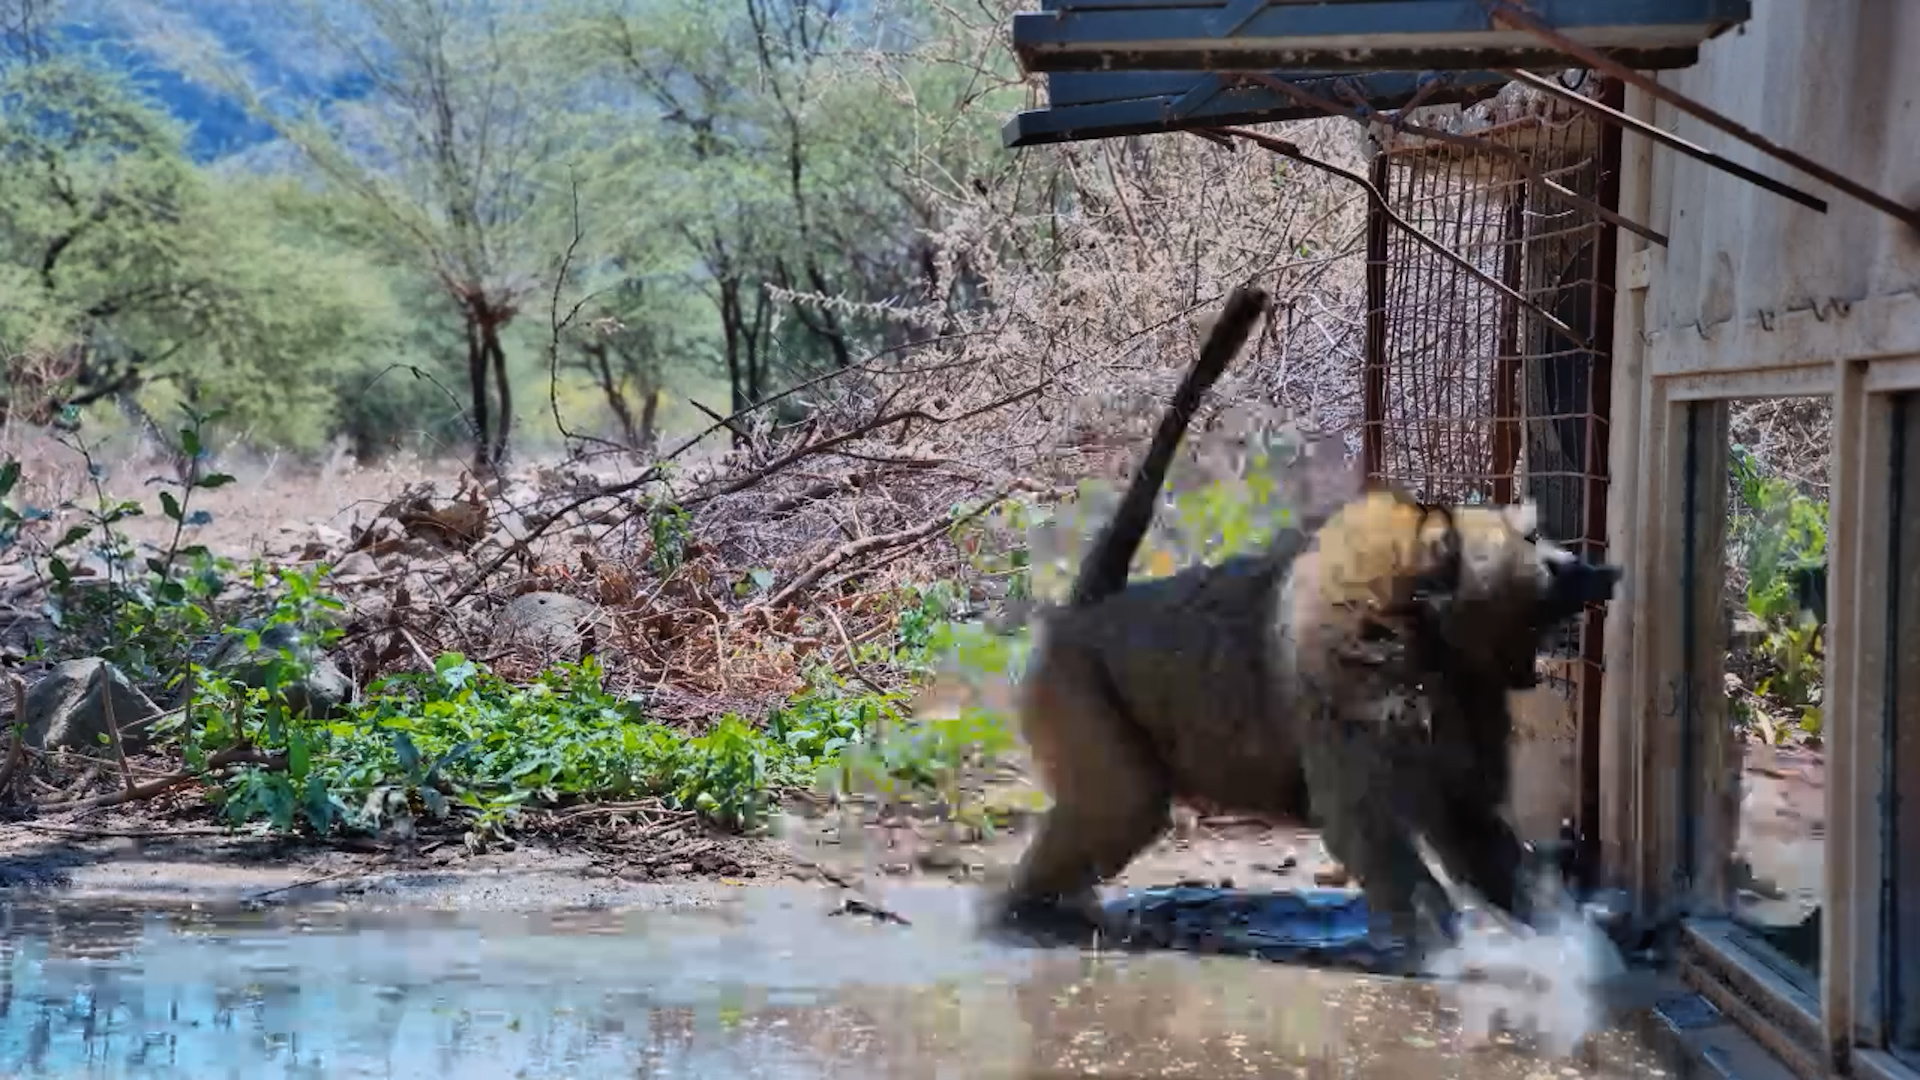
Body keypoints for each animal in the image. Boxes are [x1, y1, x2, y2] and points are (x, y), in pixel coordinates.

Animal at [983, 286, 1623, 959]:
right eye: (1532, 543)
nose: (1603, 572)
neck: (1424, 629)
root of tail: (1087, 612)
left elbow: (1472, 829)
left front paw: (1574, 947)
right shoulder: (1356, 695)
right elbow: (1371, 834)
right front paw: (1454, 956)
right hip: (1073, 686)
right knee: (1122, 808)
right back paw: (1023, 914)